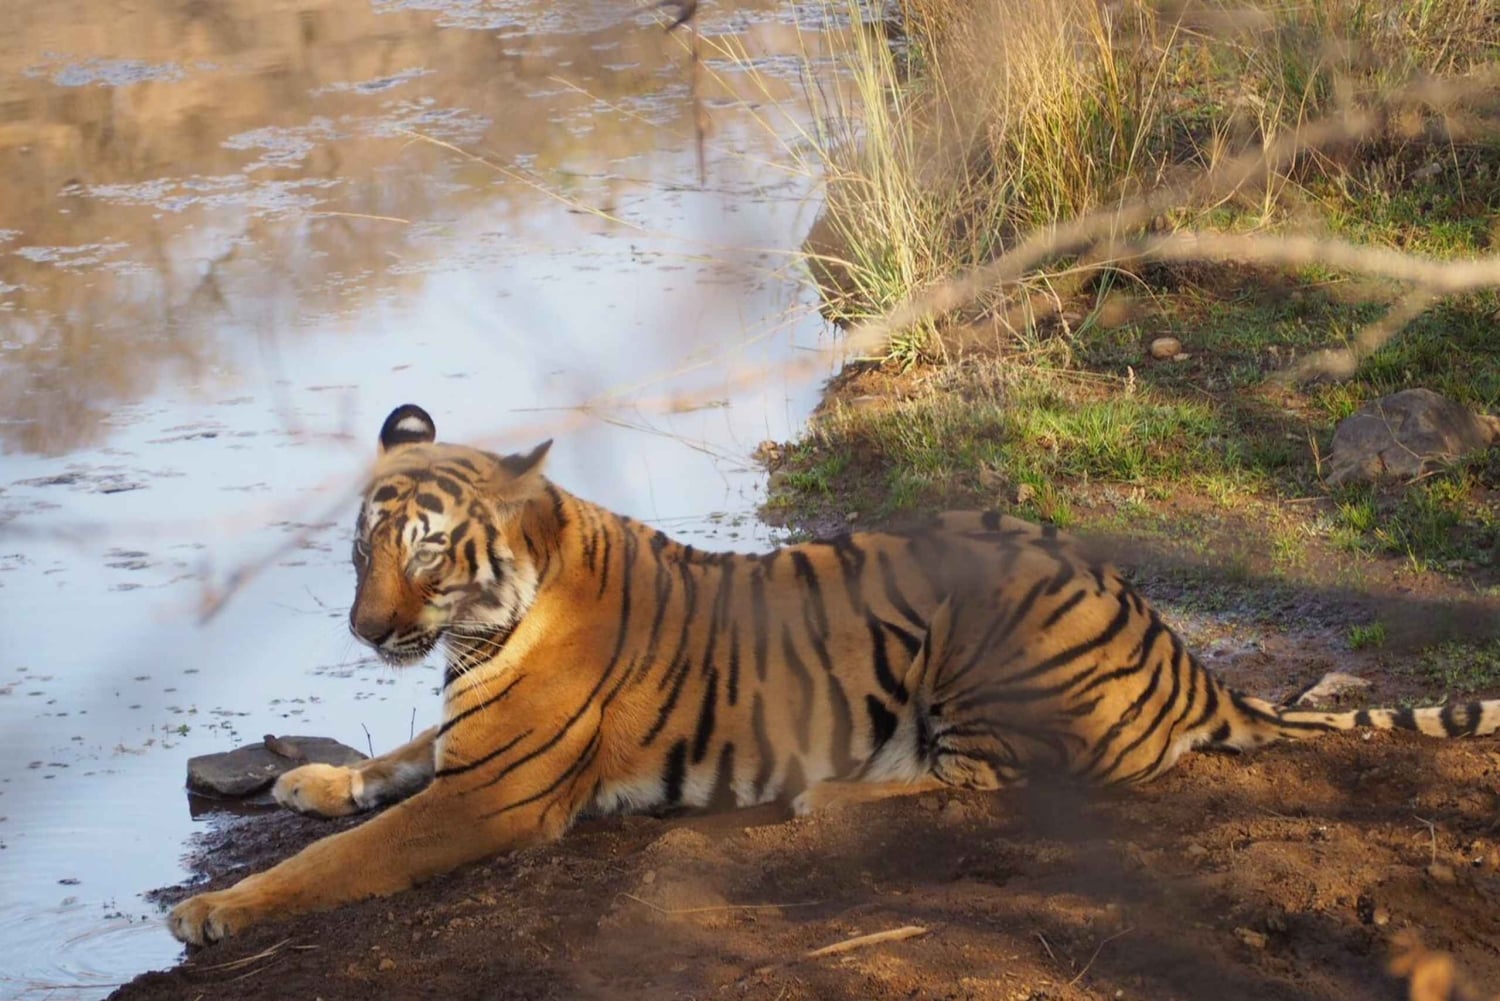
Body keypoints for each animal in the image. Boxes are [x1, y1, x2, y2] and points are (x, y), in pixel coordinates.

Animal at [168, 403, 1500, 945]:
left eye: (429, 550)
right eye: (361, 546)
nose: (364, 630)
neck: (490, 621)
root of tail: (1181, 646)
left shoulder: (494, 793)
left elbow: (348, 857)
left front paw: (215, 907)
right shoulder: (461, 749)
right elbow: (393, 757)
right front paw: (312, 781)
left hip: (980, 637)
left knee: (992, 781)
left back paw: (828, 795)